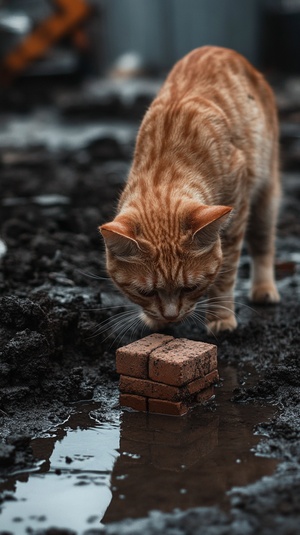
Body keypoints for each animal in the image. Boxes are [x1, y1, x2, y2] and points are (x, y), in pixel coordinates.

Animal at [99, 46, 280, 332]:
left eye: (190, 287)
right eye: (146, 292)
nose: (171, 317)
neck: (165, 170)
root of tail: (222, 49)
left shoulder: (237, 208)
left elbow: (226, 270)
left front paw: (220, 316)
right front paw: (155, 320)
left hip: (265, 194)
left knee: (263, 242)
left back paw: (264, 288)